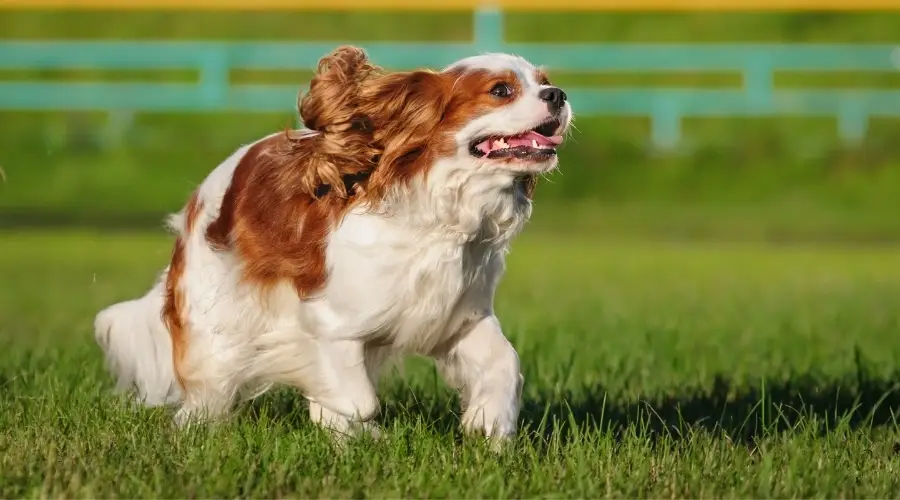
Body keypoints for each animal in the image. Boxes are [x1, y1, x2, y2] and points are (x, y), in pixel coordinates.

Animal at [95, 45, 572, 444]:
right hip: (214, 324)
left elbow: (505, 363)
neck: (439, 216)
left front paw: (488, 422)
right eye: (501, 90)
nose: (559, 94)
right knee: (206, 390)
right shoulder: (327, 324)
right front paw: (363, 433)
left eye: (544, 80)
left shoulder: (458, 317)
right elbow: (356, 399)